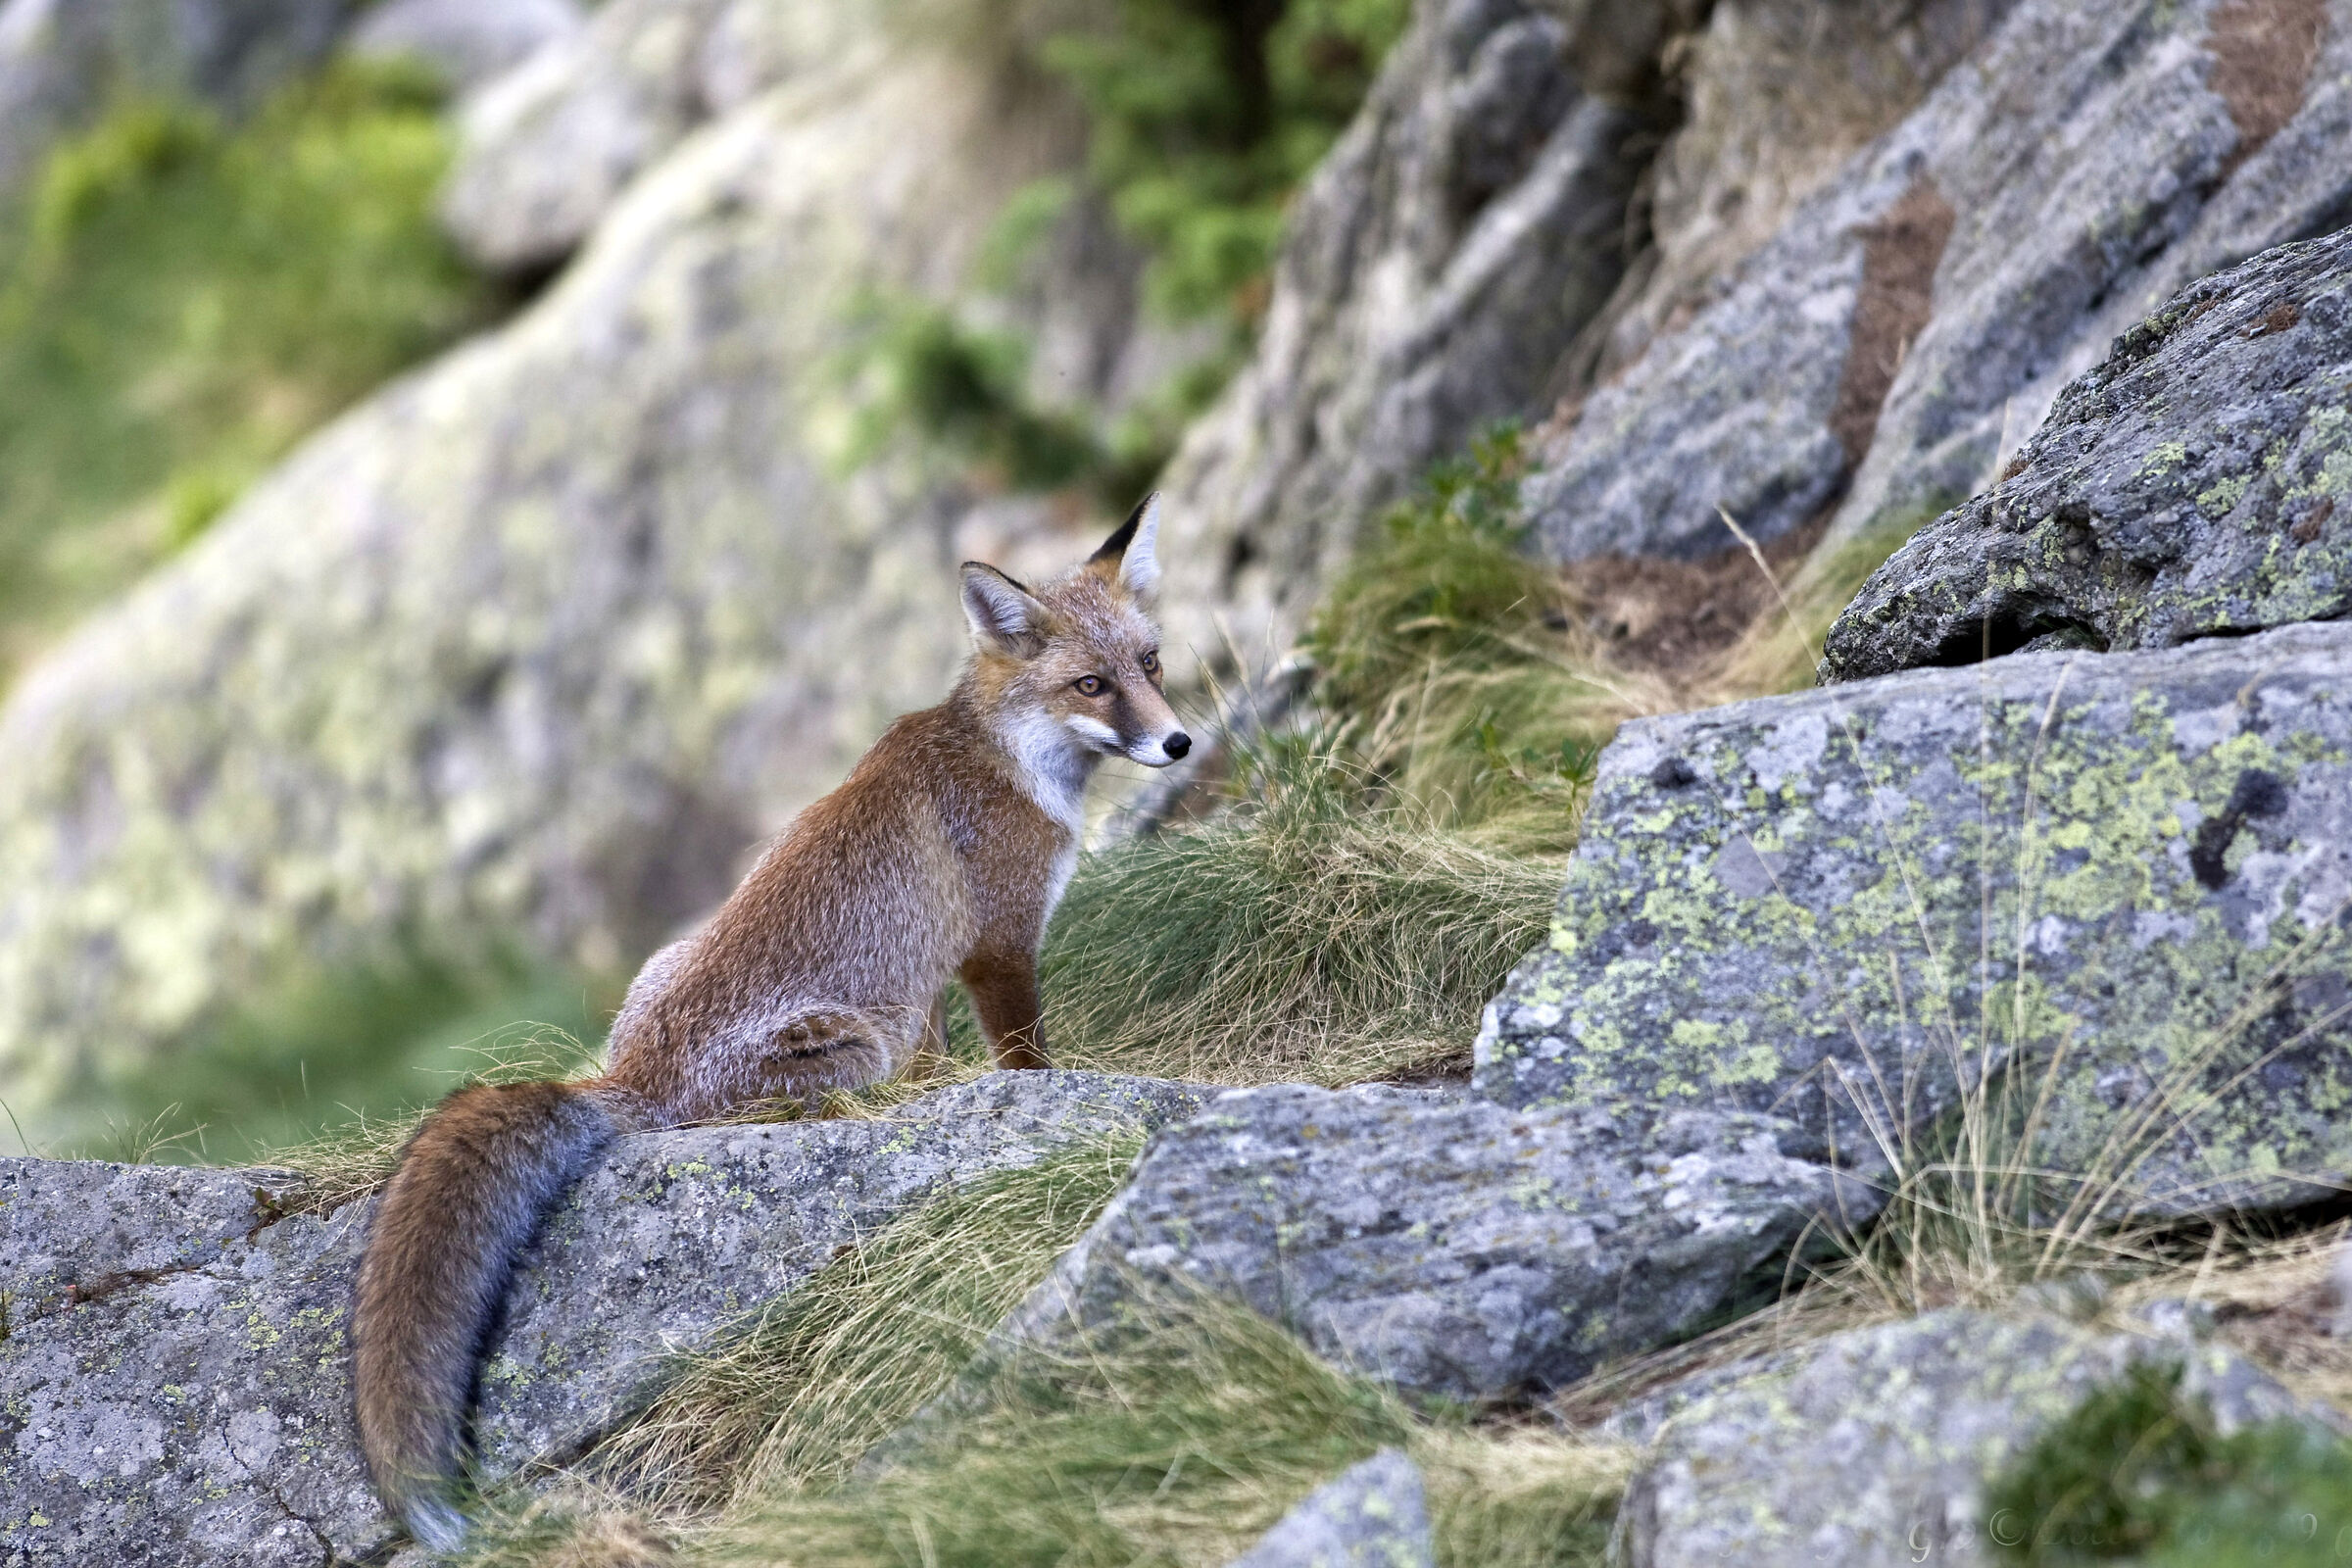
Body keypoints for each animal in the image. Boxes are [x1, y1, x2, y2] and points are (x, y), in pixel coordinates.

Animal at [351, 495, 1188, 1550]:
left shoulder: (927, 988)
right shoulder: (996, 947)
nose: (1180, 745)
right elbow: (1028, 1060)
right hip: (849, 1048)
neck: (1012, 761)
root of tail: (627, 1081)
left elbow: (947, 1063)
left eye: (1150, 662)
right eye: (1091, 683)